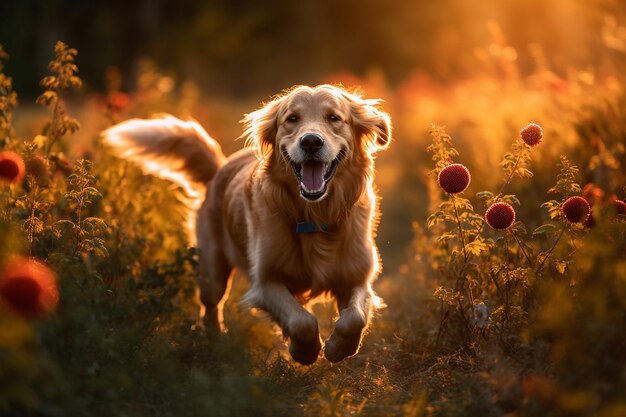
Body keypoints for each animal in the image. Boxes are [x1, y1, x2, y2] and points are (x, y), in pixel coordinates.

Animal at [105, 84, 392, 364]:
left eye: (333, 118)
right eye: (292, 119)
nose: (311, 141)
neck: (314, 216)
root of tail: (219, 169)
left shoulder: (357, 277)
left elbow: (355, 317)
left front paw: (339, 348)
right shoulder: (265, 281)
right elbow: (301, 321)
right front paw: (304, 351)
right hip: (212, 268)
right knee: (211, 305)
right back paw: (215, 341)